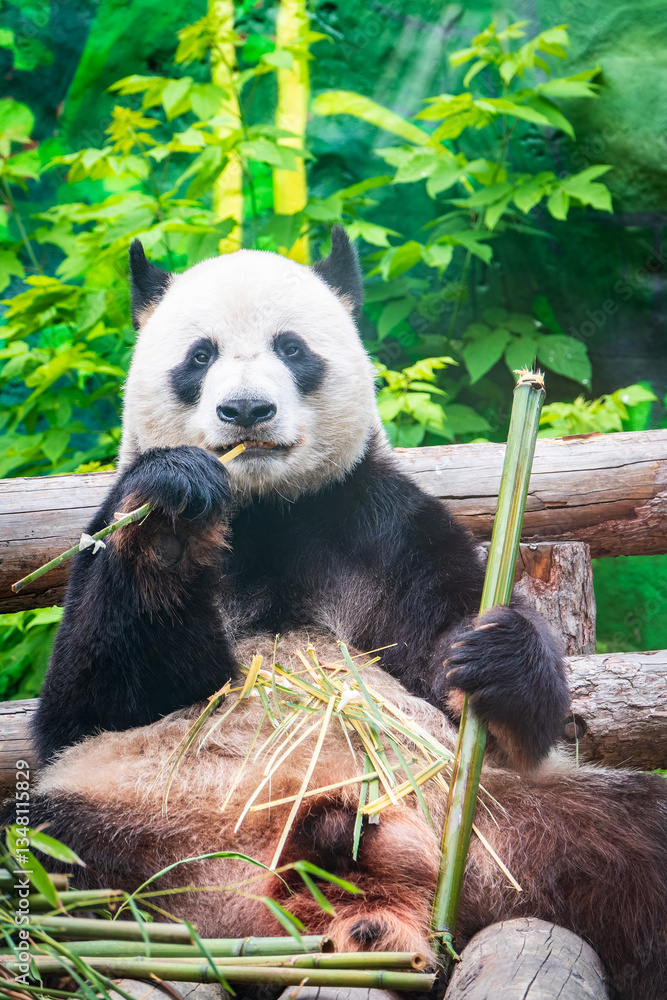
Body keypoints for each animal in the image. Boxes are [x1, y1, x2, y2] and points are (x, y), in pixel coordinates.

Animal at [21, 230, 667, 999]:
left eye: (291, 348)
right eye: (200, 356)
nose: (246, 411)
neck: (266, 510)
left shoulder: (383, 523)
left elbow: (486, 692)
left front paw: (496, 656)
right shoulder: (105, 537)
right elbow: (91, 707)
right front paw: (172, 517)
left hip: (507, 825)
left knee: (638, 841)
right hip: (134, 820)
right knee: (44, 850)